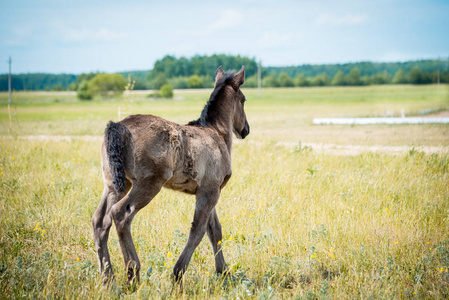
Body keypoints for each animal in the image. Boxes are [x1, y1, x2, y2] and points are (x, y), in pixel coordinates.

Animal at [91, 65, 250, 288]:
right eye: (243, 99)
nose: (245, 129)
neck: (215, 133)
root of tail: (118, 125)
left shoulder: (209, 189)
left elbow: (214, 230)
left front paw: (223, 272)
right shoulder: (210, 192)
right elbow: (198, 230)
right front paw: (178, 274)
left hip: (115, 184)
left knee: (100, 221)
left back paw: (107, 278)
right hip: (148, 184)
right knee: (121, 214)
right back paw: (133, 272)